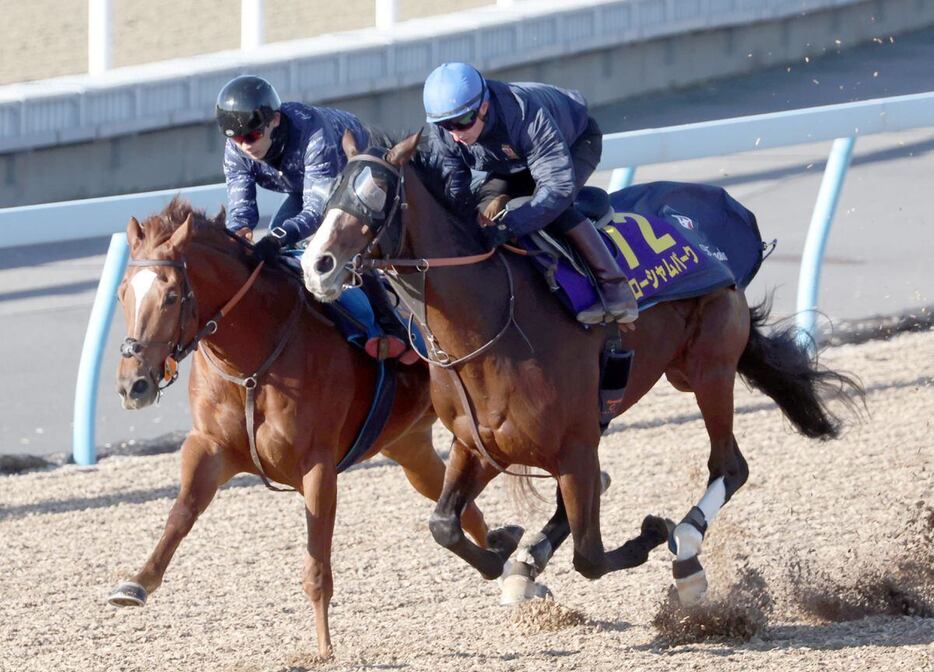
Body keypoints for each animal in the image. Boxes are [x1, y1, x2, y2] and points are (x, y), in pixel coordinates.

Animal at [107, 197, 494, 660]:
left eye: (169, 296)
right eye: (123, 293)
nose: (133, 384)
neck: (252, 363)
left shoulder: (318, 464)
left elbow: (317, 562)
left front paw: (324, 647)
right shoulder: (209, 447)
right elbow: (181, 513)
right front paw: (136, 583)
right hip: (409, 447)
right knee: (464, 507)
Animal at [300, 131, 864, 608]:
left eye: (376, 191)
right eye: (329, 190)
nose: (316, 265)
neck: (491, 327)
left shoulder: (573, 450)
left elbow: (590, 557)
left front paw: (650, 534)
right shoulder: (476, 445)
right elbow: (443, 524)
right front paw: (506, 557)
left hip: (709, 369)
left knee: (730, 466)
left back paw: (684, 552)